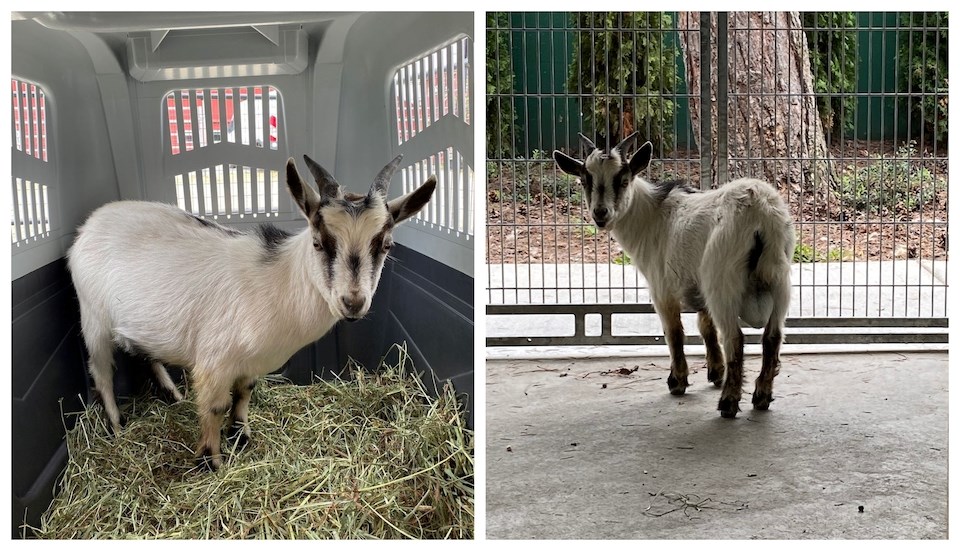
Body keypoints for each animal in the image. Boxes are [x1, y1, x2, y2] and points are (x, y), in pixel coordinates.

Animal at [69, 153, 436, 468]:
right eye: (318, 242)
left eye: (386, 245)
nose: (353, 303)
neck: (278, 280)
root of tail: (90, 223)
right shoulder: (215, 362)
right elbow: (215, 406)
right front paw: (211, 461)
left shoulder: (251, 361)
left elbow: (244, 393)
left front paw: (241, 435)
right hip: (93, 319)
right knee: (101, 372)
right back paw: (117, 425)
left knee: (145, 353)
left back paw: (173, 394)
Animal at [556, 134, 796, 418]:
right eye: (585, 180)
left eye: (623, 180)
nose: (600, 214)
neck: (651, 216)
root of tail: (760, 213)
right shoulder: (698, 287)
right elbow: (705, 327)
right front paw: (715, 372)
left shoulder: (662, 289)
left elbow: (674, 332)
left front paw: (678, 381)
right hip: (780, 277)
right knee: (772, 337)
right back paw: (761, 397)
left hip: (722, 280)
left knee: (734, 338)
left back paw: (728, 402)